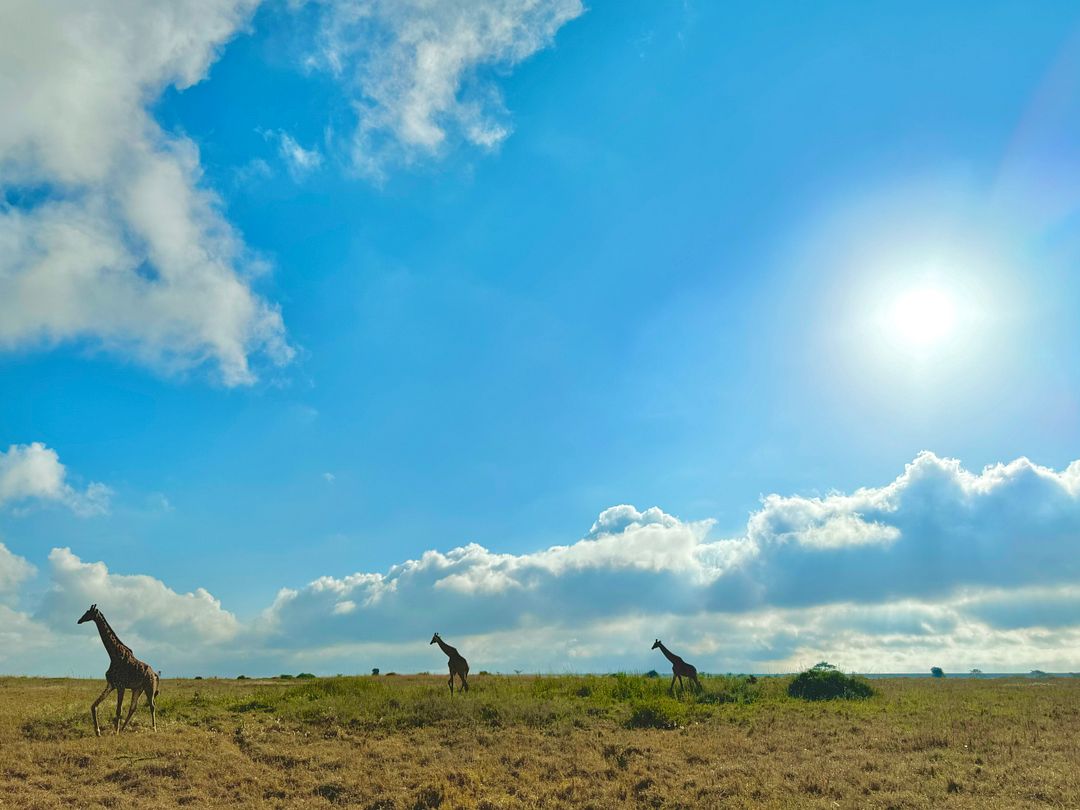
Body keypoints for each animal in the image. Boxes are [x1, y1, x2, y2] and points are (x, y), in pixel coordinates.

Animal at [78, 604, 158, 738]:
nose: (79, 620)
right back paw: (123, 729)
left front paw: (115, 732)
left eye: (88, 613)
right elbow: (94, 705)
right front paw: (98, 731)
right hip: (138, 689)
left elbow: (118, 710)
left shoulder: (121, 686)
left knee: (152, 706)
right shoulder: (111, 684)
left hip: (149, 687)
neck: (113, 655)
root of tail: (155, 674)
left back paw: (154, 729)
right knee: (133, 707)